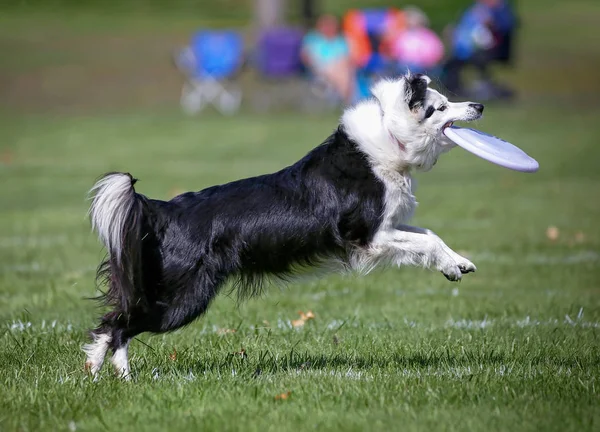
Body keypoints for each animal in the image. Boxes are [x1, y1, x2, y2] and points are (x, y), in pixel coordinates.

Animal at [83, 73, 482, 378]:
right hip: (182, 296)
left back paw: (100, 374)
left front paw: (457, 264)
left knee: (114, 322)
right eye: (440, 107)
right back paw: (117, 375)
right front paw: (454, 265)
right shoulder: (367, 237)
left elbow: (430, 235)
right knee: (117, 324)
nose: (479, 106)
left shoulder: (385, 230)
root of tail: (162, 209)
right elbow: (426, 241)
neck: (390, 136)